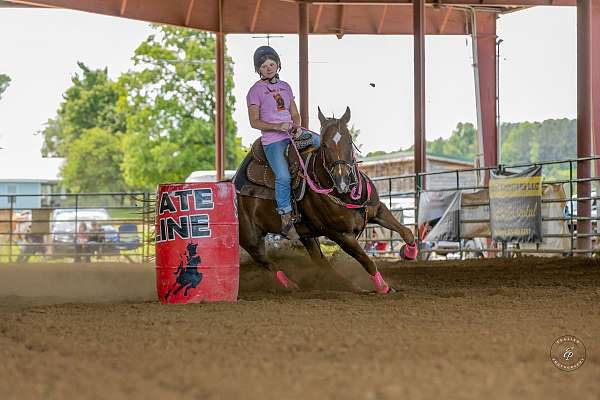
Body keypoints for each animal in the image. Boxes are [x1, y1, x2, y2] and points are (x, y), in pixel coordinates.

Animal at [236, 106, 418, 294]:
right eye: (324, 144)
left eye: (349, 140)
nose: (342, 179)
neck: (345, 194)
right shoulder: (340, 235)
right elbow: (367, 261)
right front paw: (383, 287)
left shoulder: (378, 210)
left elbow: (407, 232)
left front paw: (409, 253)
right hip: (250, 237)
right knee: (265, 261)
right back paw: (291, 285)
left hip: (306, 235)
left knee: (321, 262)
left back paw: (351, 286)